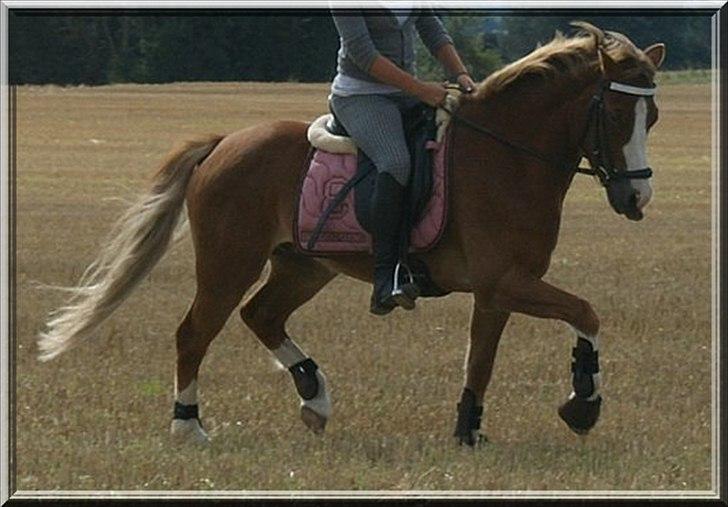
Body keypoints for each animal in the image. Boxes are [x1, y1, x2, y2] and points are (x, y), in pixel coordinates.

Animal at [38, 22, 666, 447]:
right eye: (615, 116)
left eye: (652, 118)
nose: (637, 200)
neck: (507, 157)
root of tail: (224, 144)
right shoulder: (505, 282)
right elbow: (586, 312)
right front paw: (583, 402)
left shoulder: (498, 291)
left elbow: (481, 362)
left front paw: (468, 431)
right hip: (228, 263)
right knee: (195, 332)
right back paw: (189, 426)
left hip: (303, 264)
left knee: (261, 315)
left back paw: (315, 397)